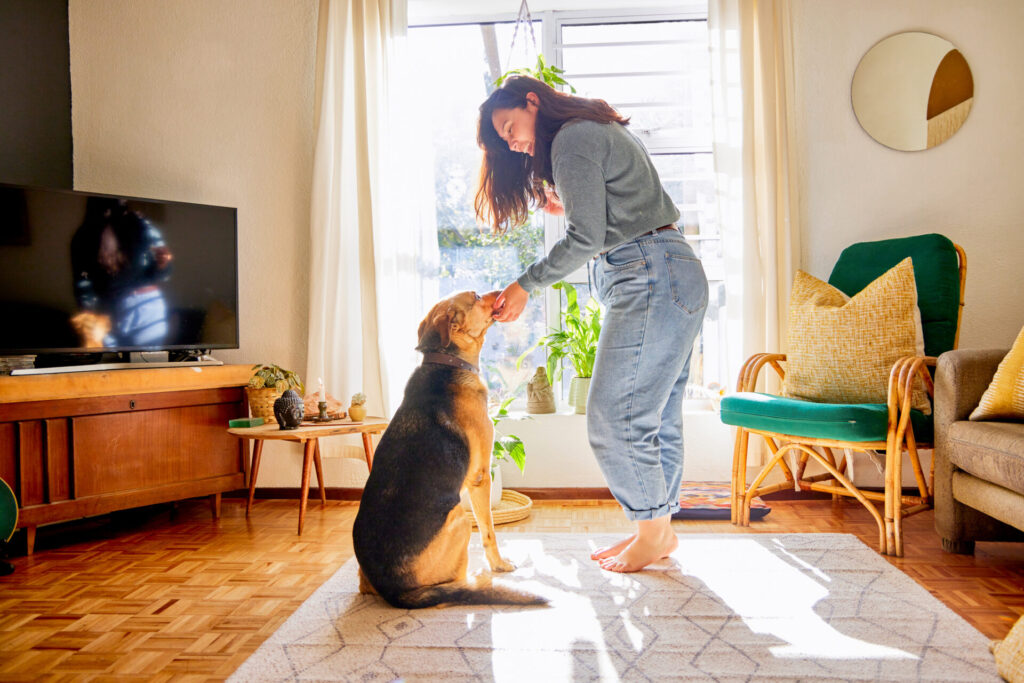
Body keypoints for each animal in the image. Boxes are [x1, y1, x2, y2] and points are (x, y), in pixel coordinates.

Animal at [352, 288, 544, 610]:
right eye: (476, 295)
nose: (501, 290)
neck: (447, 363)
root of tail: (394, 590)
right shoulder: (480, 477)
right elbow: (490, 532)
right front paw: (500, 566)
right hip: (460, 518)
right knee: (452, 587)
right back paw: (478, 580)